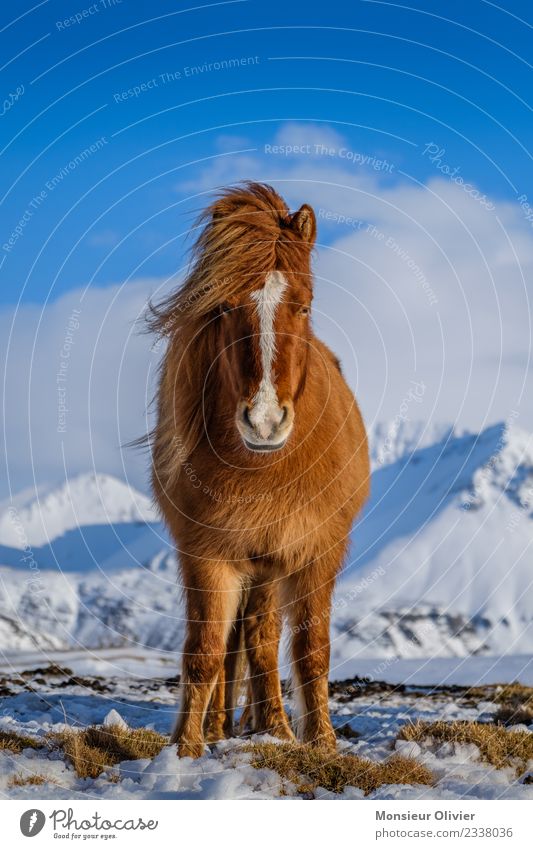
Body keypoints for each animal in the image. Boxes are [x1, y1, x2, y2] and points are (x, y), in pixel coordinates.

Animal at [148, 184, 368, 756]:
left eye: (305, 305)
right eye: (224, 306)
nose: (265, 422)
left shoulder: (315, 550)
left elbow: (311, 649)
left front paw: (320, 744)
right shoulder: (206, 555)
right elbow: (205, 650)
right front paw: (186, 751)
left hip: (269, 565)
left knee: (260, 639)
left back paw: (272, 727)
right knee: (237, 644)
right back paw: (223, 727)